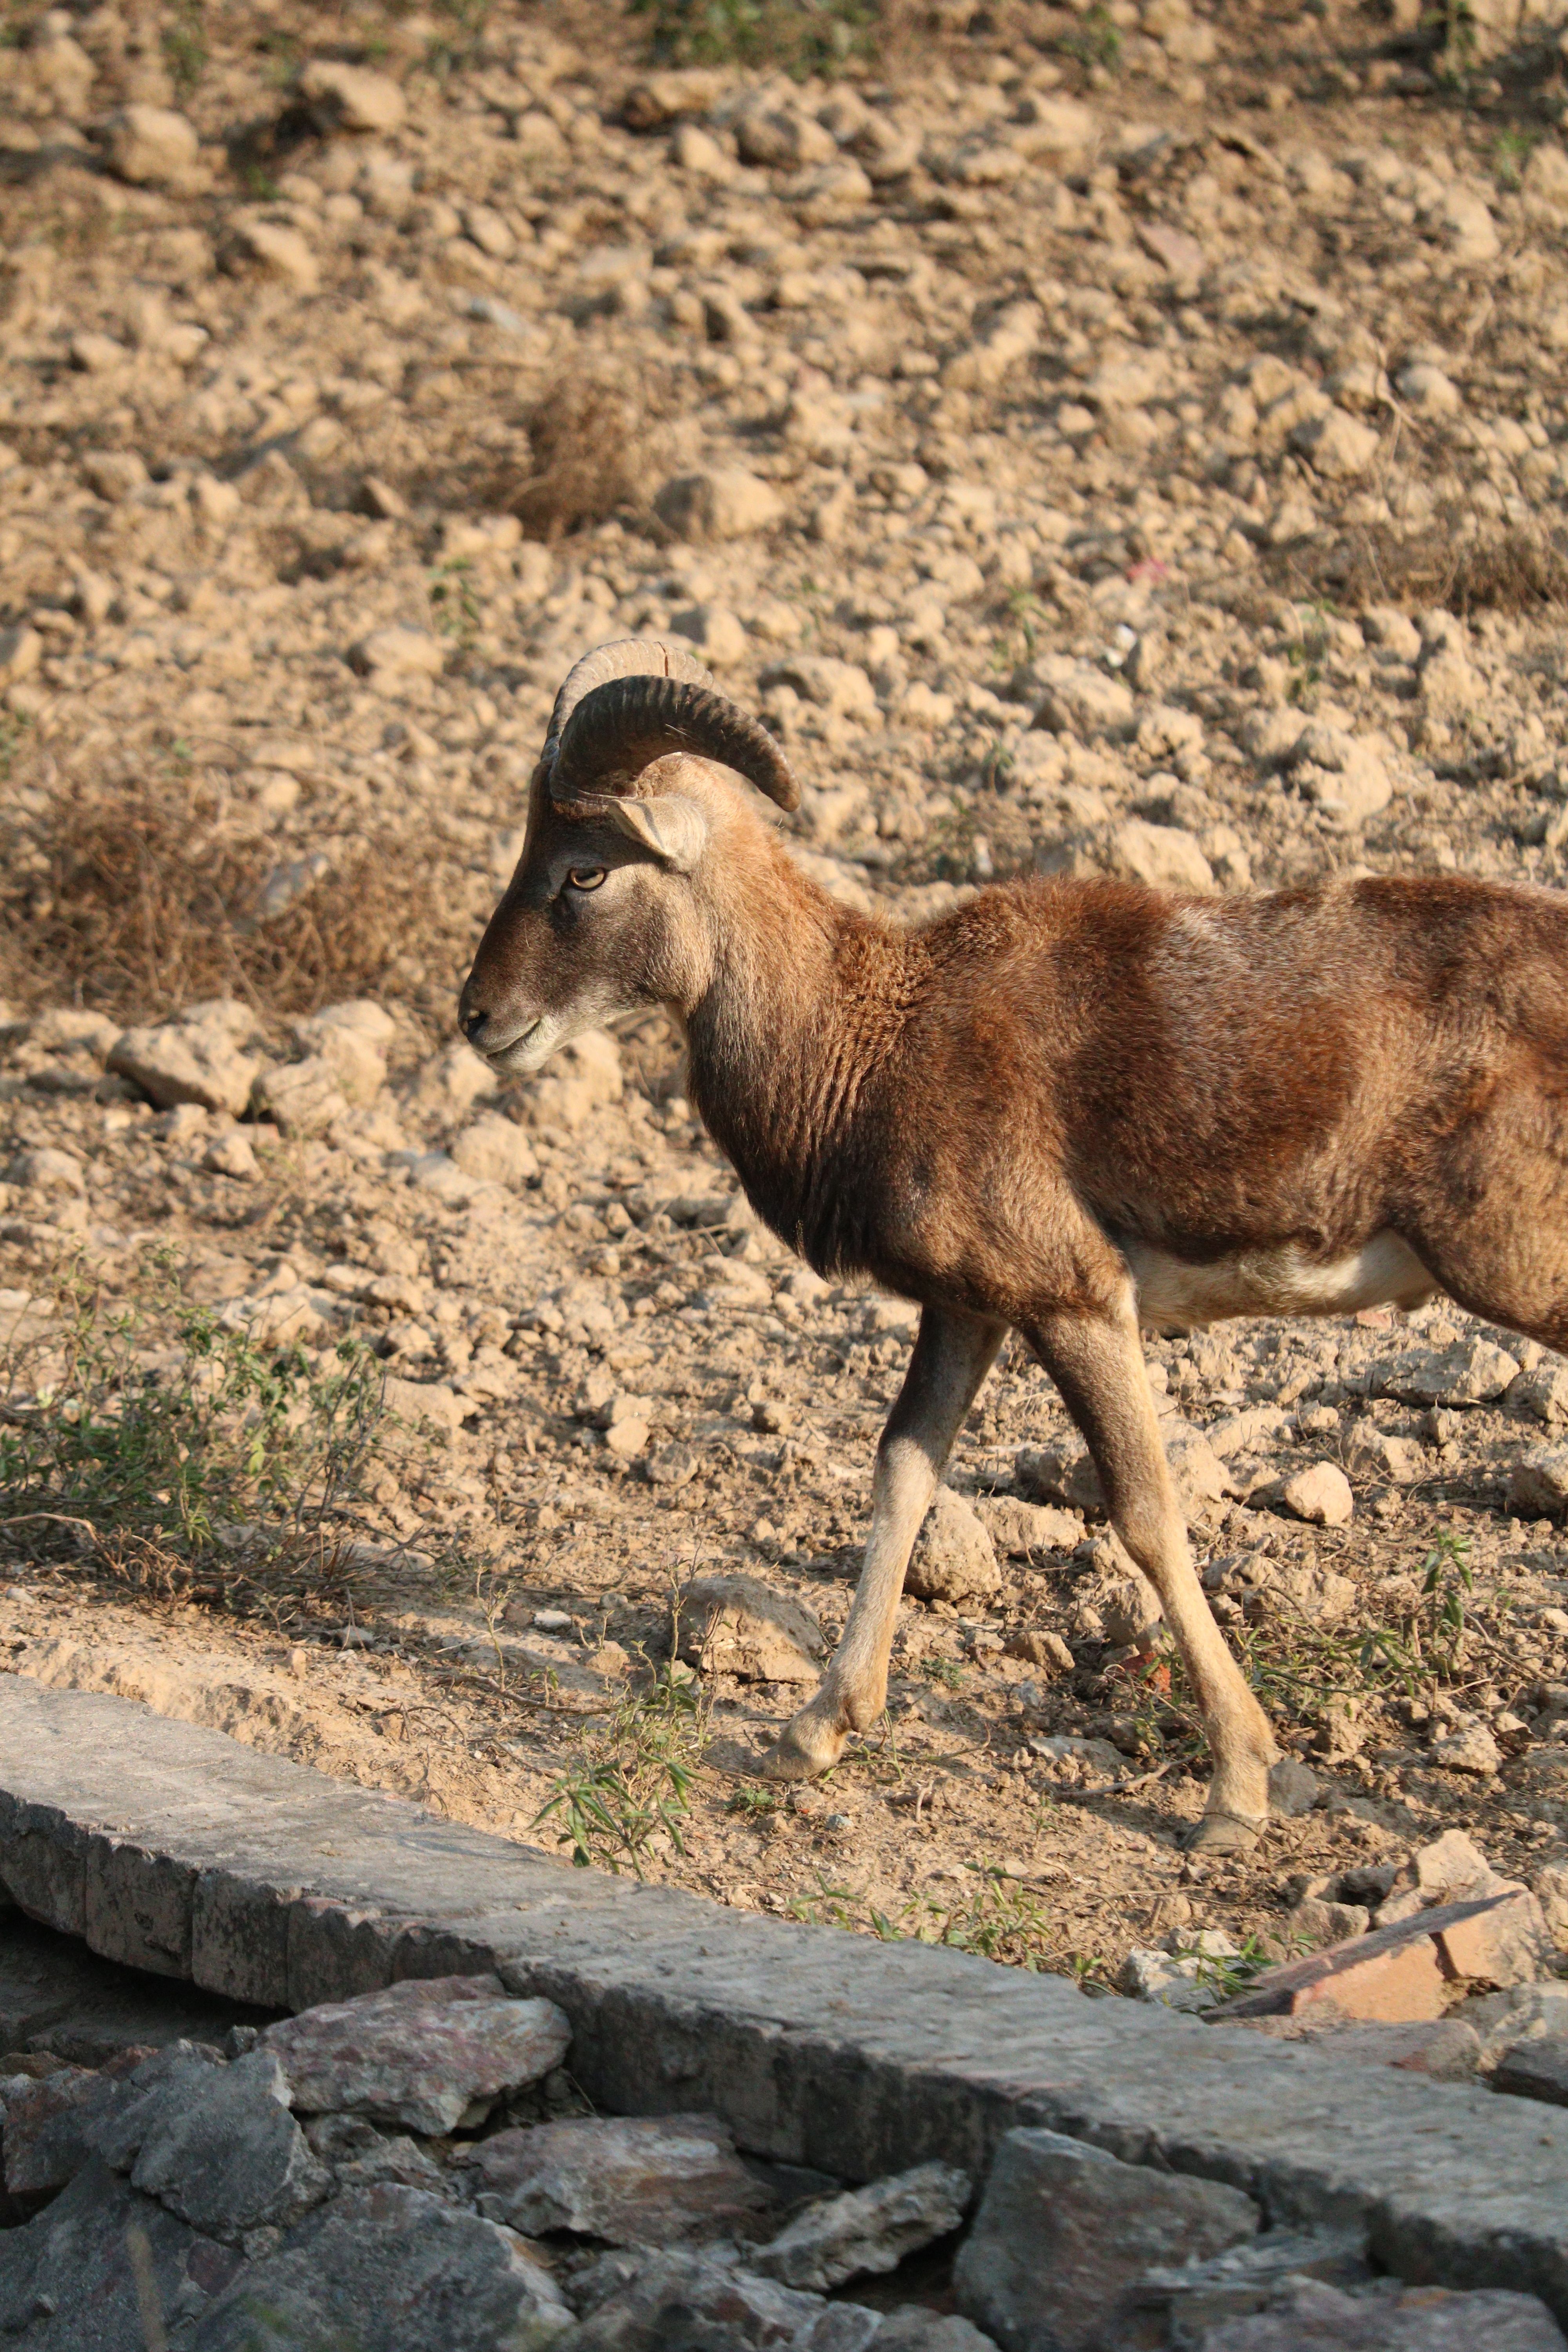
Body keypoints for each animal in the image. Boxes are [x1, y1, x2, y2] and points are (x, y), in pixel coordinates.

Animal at [460, 638, 1568, 1852]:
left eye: (583, 872)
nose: (479, 1018)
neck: (875, 1037)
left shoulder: (1073, 1302)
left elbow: (1145, 1514)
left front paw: (1236, 1794)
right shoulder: (970, 1311)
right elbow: (905, 1474)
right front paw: (811, 1735)